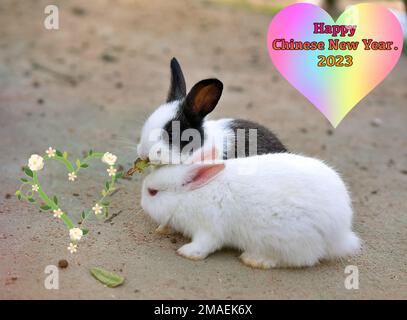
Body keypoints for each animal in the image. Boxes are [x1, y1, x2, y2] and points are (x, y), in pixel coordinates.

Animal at [142, 151, 362, 268]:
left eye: (152, 192)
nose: (142, 204)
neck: (189, 196)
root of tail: (340, 233)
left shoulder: (209, 229)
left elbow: (204, 245)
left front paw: (186, 252)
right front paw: (162, 229)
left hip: (287, 240)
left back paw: (254, 259)